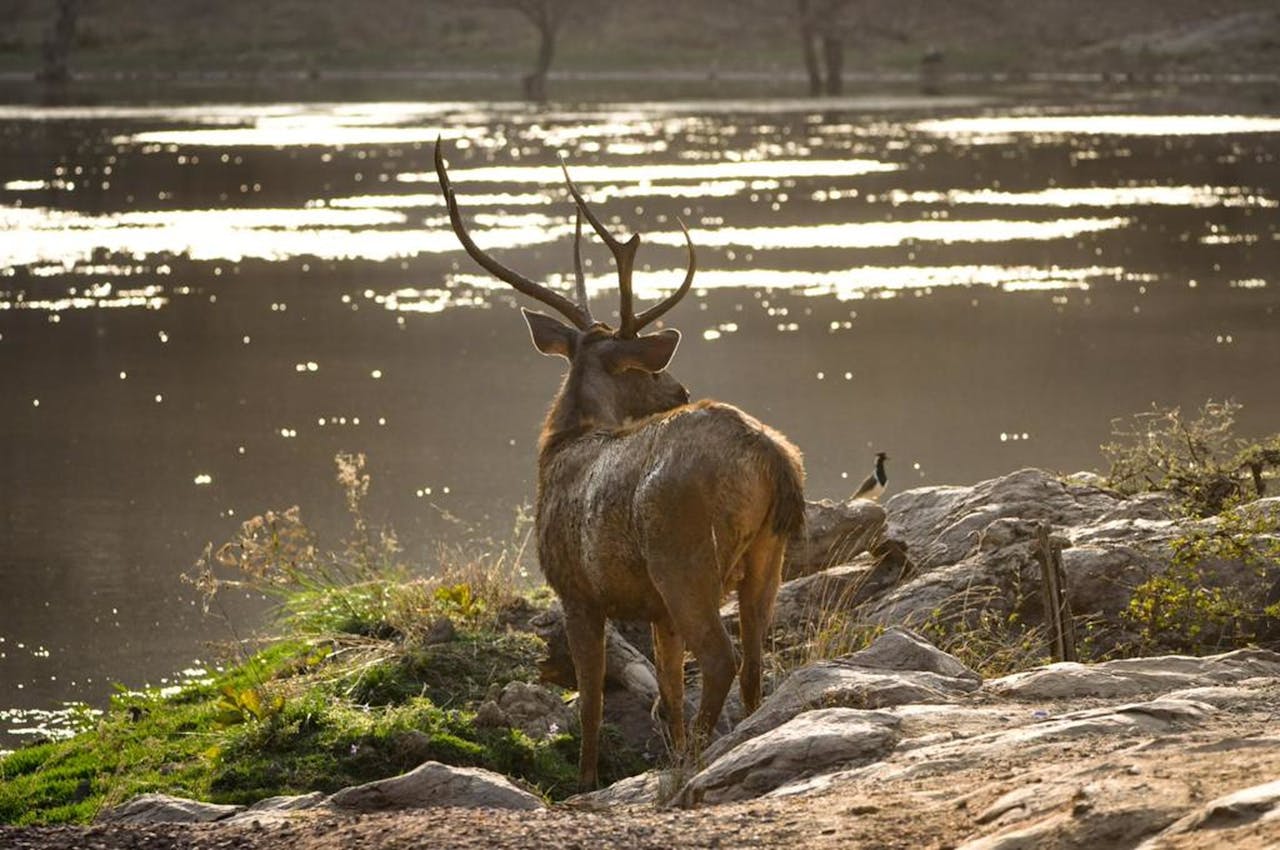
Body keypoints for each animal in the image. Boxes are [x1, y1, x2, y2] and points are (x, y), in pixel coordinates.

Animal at [435, 141, 806, 789]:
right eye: (641, 368)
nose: (679, 388)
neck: (560, 446)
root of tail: (772, 455)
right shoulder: (653, 608)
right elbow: (667, 690)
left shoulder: (576, 589)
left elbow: (591, 699)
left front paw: (584, 781)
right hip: (767, 553)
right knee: (757, 659)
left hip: (683, 553)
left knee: (722, 656)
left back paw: (697, 758)